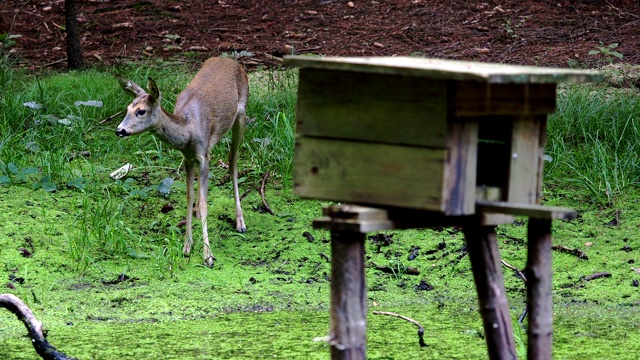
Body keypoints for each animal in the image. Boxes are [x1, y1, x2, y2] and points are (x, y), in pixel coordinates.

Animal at [116, 55, 249, 264]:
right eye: (128, 108)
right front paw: (187, 246)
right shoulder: (187, 158)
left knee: (233, 161)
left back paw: (240, 222)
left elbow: (205, 202)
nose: (120, 130)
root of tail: (231, 60)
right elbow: (189, 197)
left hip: (241, 114)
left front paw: (208, 255)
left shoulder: (203, 156)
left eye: (141, 111)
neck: (188, 131)